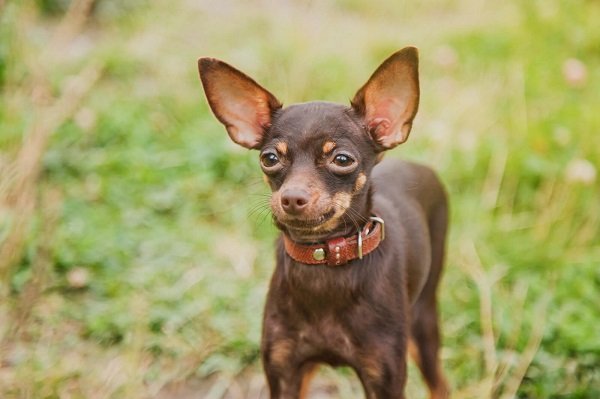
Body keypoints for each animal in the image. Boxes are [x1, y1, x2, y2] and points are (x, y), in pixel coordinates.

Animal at [199, 47, 448, 399]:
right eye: (269, 158)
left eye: (342, 159)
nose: (292, 197)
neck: (322, 261)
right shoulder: (283, 371)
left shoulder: (384, 379)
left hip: (423, 322)